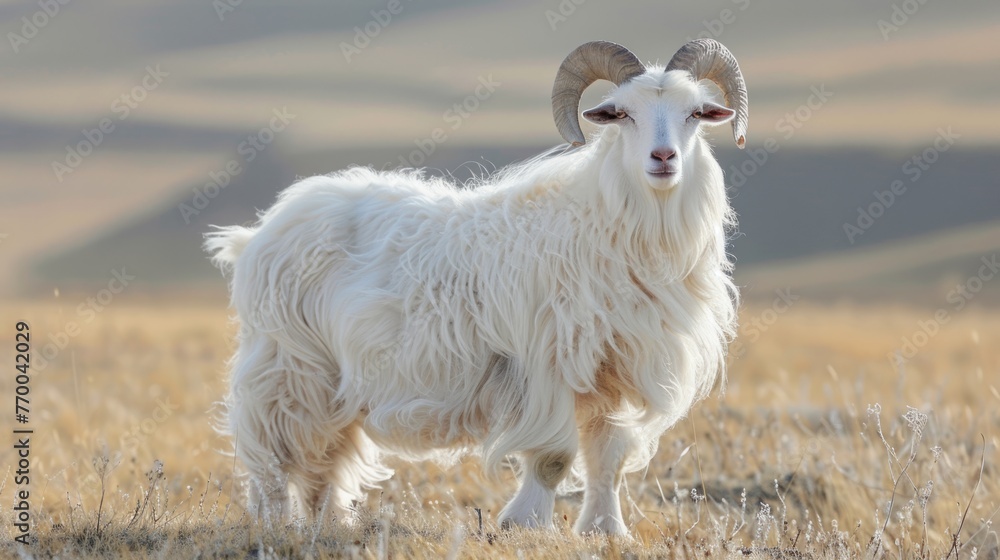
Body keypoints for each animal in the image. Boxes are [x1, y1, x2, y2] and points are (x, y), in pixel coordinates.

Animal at [206, 39, 748, 535]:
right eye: (621, 114)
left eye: (696, 114)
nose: (664, 157)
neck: (606, 221)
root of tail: (258, 232)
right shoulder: (546, 369)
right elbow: (552, 458)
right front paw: (524, 524)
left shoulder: (610, 373)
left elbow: (608, 460)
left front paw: (605, 530)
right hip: (286, 368)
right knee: (271, 457)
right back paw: (275, 526)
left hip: (332, 384)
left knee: (324, 462)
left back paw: (328, 526)